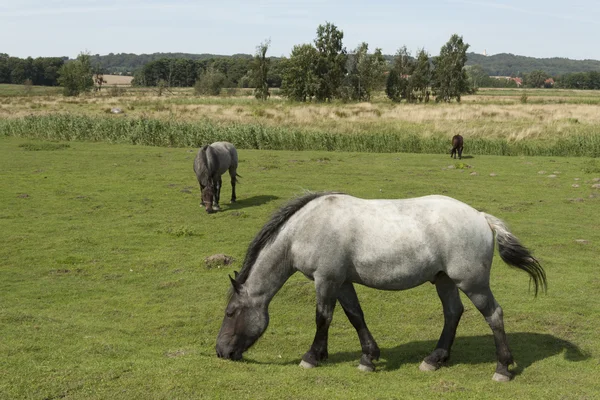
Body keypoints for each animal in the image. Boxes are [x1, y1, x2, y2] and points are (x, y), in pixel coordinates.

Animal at [217, 193, 548, 382]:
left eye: (231, 312)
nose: (220, 351)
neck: (305, 228)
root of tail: (481, 217)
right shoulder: (342, 282)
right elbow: (355, 316)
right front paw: (368, 358)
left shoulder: (326, 280)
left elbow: (323, 318)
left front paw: (311, 357)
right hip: (444, 280)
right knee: (453, 313)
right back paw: (434, 360)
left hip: (472, 283)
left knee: (494, 315)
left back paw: (502, 368)